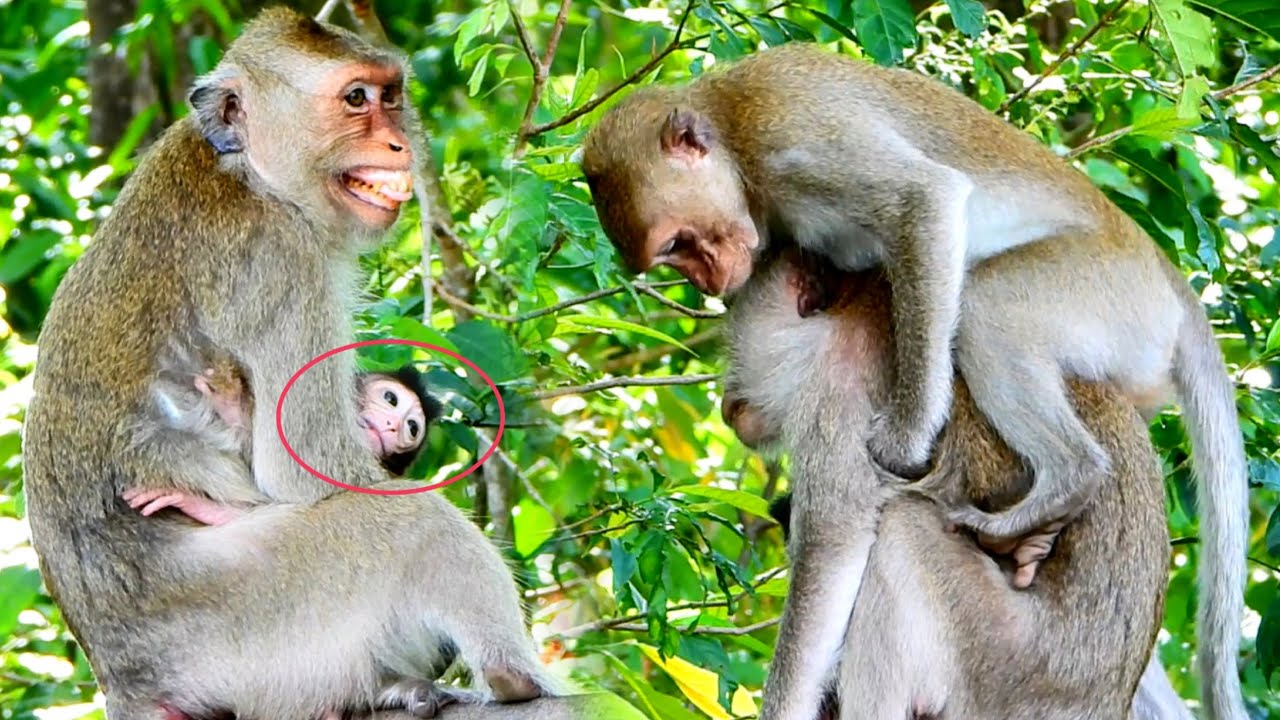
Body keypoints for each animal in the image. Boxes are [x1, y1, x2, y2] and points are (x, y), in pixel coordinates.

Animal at [22, 9, 558, 719]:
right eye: (355, 99)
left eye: (391, 96)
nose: (400, 144)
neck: (249, 172)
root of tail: (123, 679)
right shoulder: (281, 262)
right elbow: (310, 473)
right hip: (262, 615)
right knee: (411, 522)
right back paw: (514, 679)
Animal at [719, 246, 1173, 719]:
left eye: (734, 334)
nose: (725, 400)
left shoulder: (835, 389)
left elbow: (832, 548)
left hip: (1010, 667)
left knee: (902, 529)